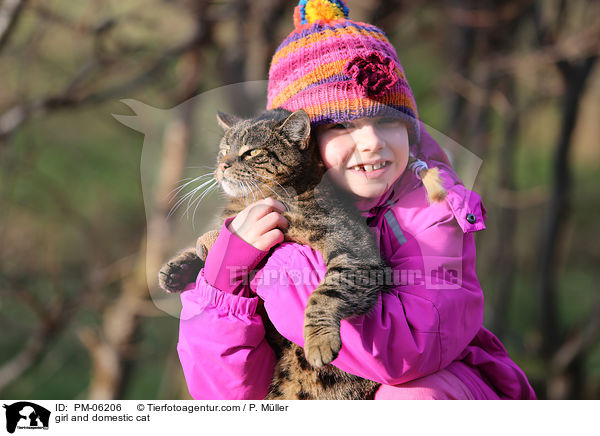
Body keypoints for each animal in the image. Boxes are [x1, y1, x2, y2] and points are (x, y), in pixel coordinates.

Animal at [158, 108, 390, 398]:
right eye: (224, 150)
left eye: (252, 152)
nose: (223, 165)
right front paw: (178, 267)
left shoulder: (355, 252)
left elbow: (325, 294)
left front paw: (320, 340)